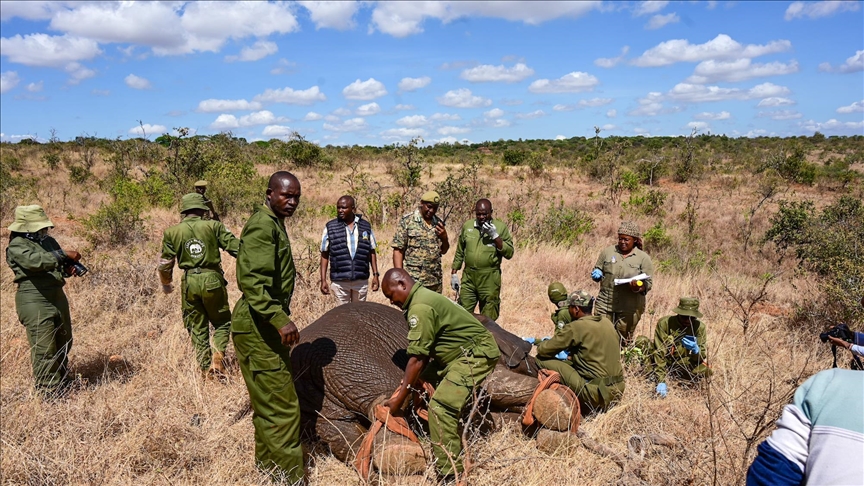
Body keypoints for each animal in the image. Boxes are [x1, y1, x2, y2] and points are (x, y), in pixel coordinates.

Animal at [289, 301, 543, 463]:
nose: (536, 361)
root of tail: (306, 359)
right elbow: (491, 385)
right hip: (355, 360)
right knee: (389, 400)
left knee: (339, 429)